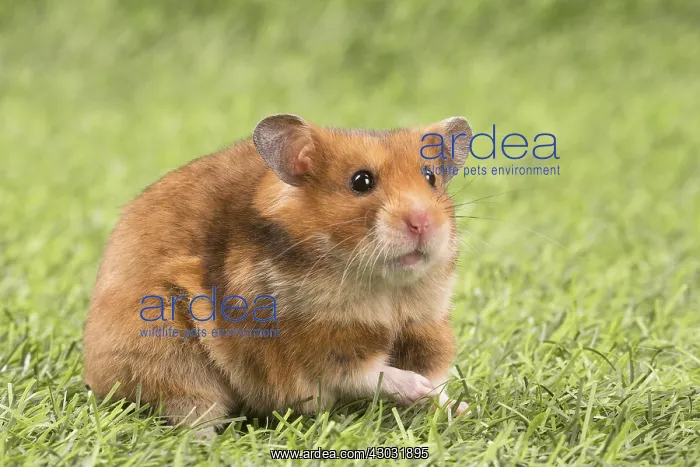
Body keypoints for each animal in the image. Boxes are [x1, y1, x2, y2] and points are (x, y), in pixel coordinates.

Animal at [83, 114, 473, 432]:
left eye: (430, 177)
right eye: (361, 181)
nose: (422, 222)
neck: (385, 288)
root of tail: (93, 374)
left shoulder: (426, 326)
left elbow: (434, 375)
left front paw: (459, 406)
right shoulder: (318, 345)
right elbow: (370, 374)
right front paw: (418, 389)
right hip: (167, 352)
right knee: (190, 410)